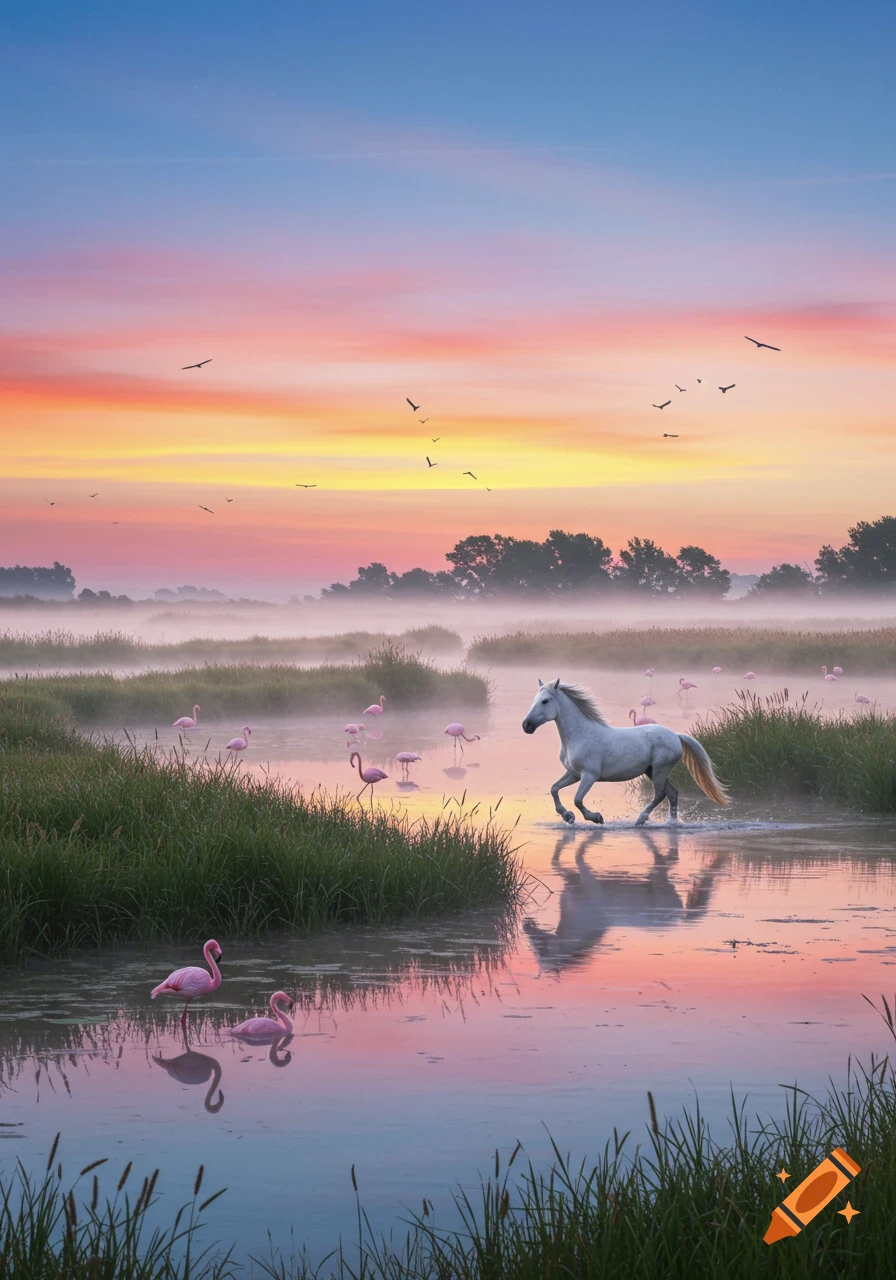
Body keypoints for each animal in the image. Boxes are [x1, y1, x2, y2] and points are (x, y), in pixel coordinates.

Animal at [521, 678, 729, 825]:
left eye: (545, 701)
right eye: (534, 700)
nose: (526, 725)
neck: (579, 735)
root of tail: (676, 736)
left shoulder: (589, 775)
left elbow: (578, 800)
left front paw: (595, 817)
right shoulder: (573, 774)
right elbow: (554, 789)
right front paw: (567, 816)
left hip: (660, 770)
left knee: (660, 794)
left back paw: (641, 819)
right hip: (652, 771)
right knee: (672, 794)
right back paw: (671, 823)